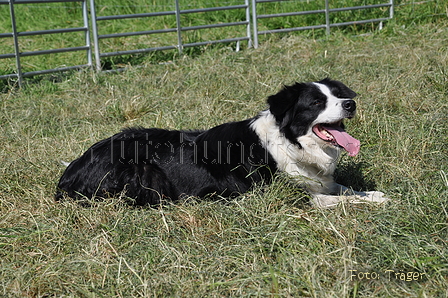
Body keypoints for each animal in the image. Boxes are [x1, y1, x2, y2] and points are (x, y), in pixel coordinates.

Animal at [56, 78, 388, 207]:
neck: (290, 143)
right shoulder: (283, 195)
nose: (350, 104)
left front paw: (373, 193)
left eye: (338, 95)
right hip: (142, 171)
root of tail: (72, 170)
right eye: (317, 102)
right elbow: (334, 200)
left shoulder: (318, 181)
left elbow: (343, 188)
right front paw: (373, 200)